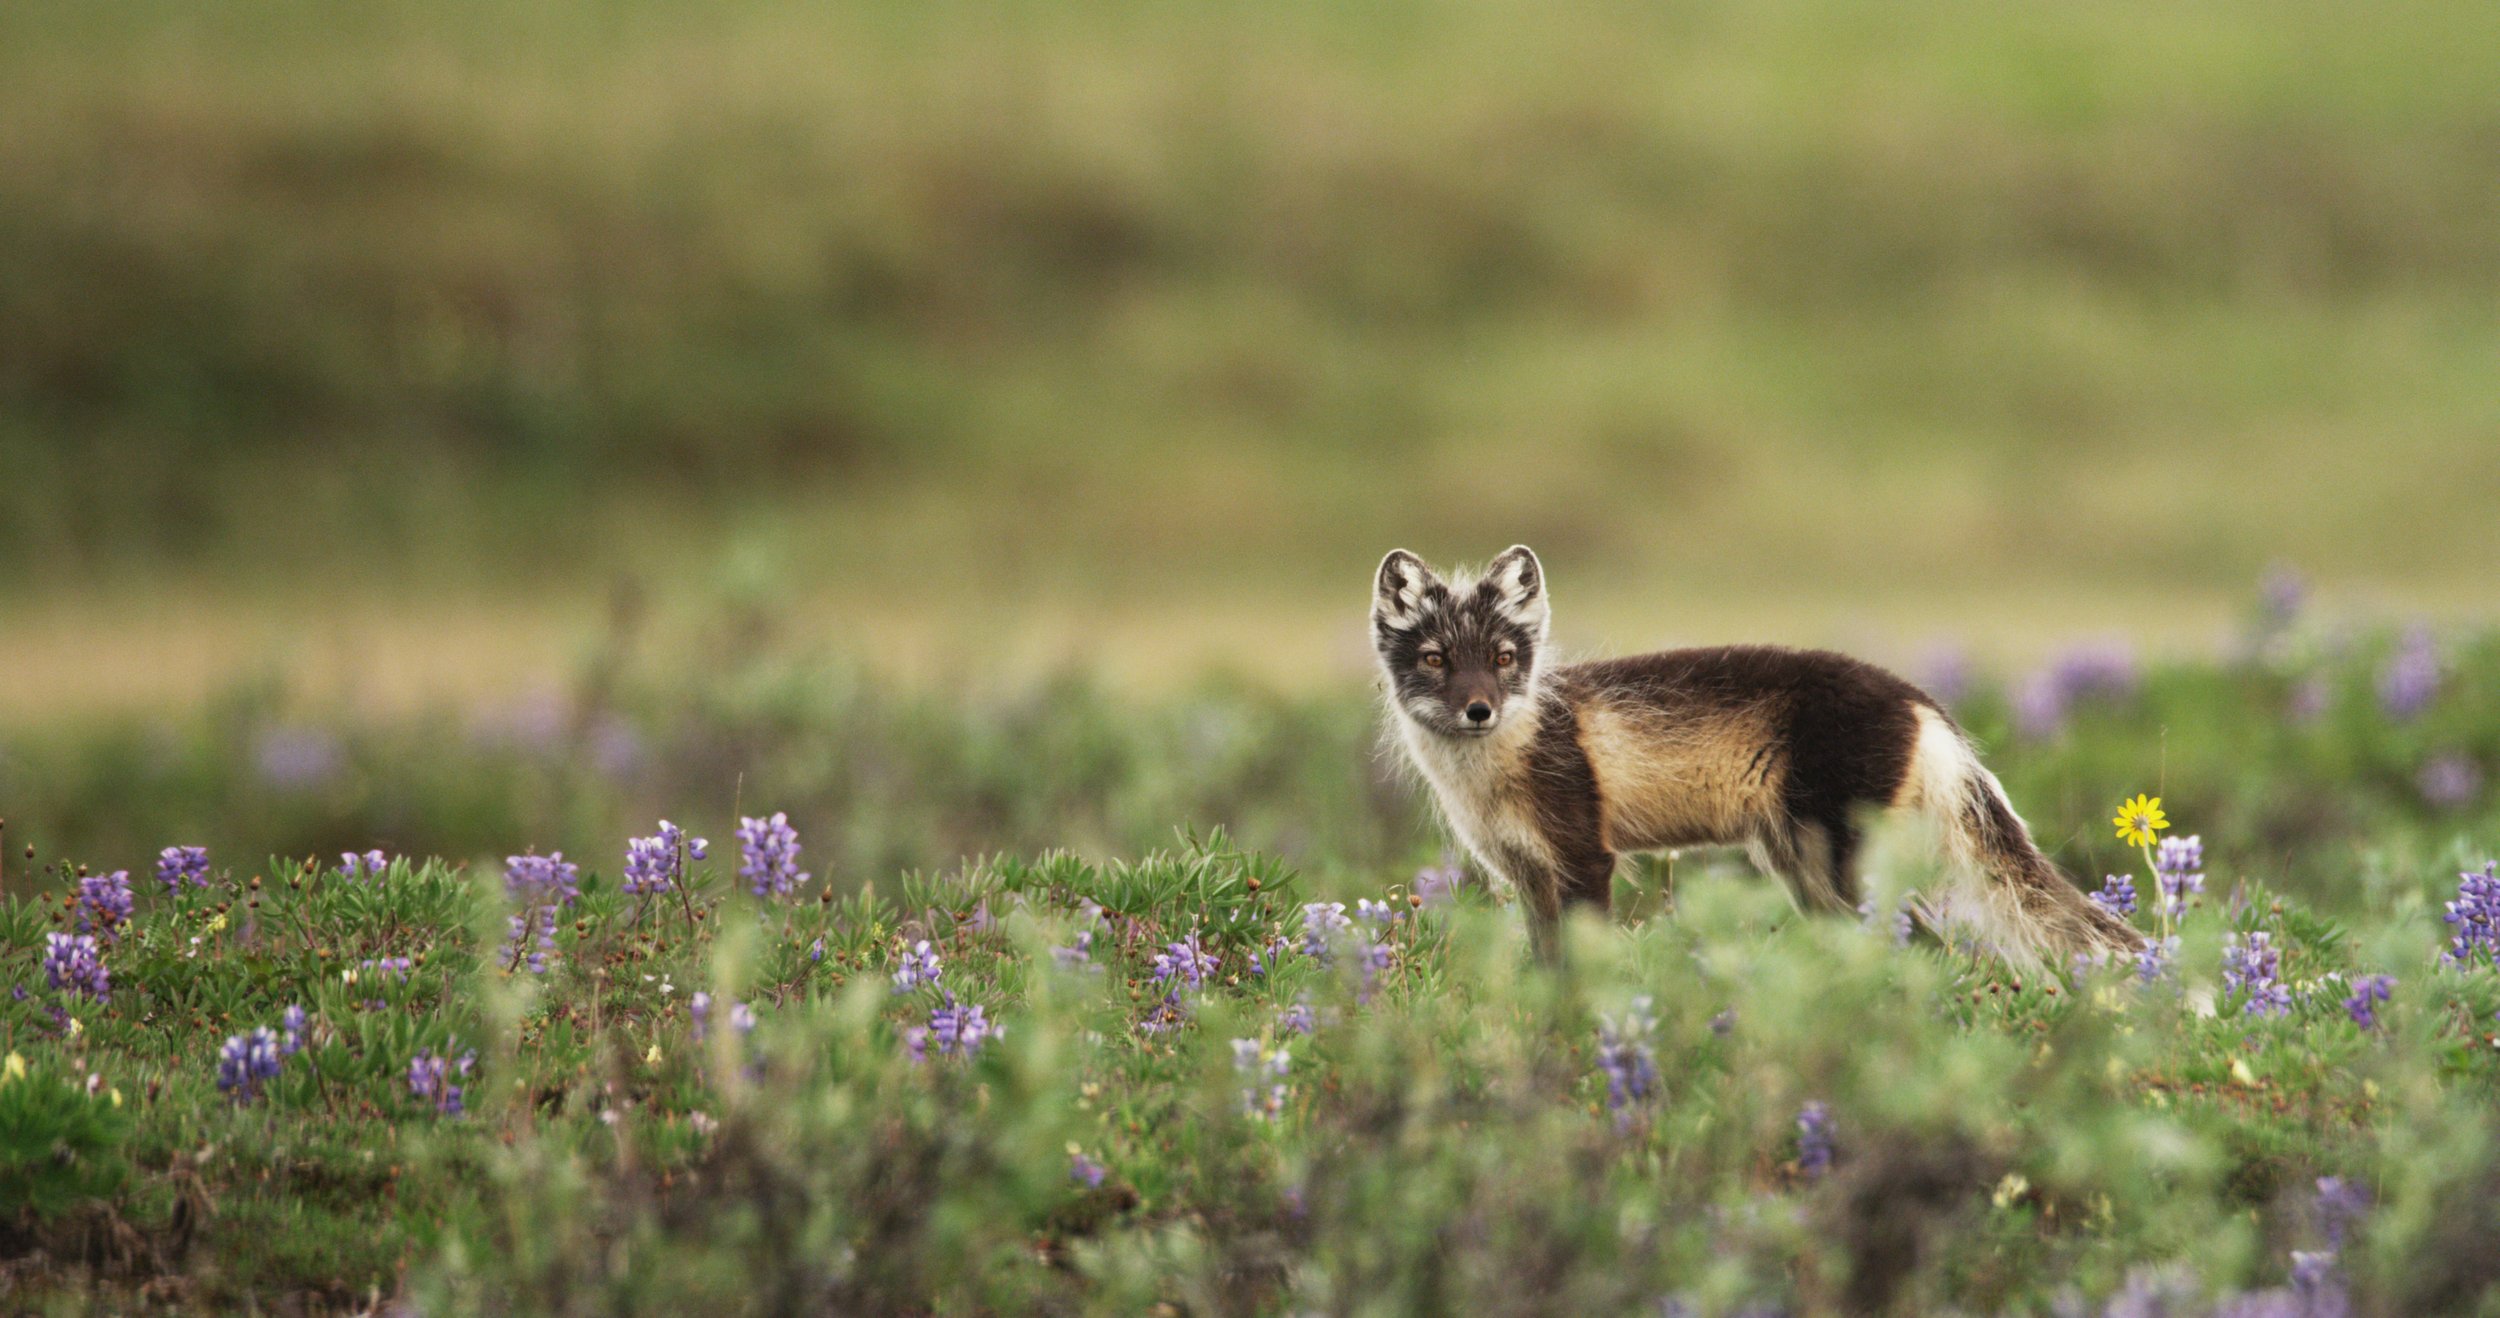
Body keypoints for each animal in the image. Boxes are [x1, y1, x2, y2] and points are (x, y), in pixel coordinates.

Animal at [1371, 544, 2145, 966]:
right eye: (1436, 660)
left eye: (1503, 658)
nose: (1480, 710)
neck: (1496, 770)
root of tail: (1920, 699)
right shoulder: (1526, 874)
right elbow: (1543, 961)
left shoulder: (1586, 859)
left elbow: (1579, 964)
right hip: (1799, 867)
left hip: (1839, 863)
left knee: (1922, 945)